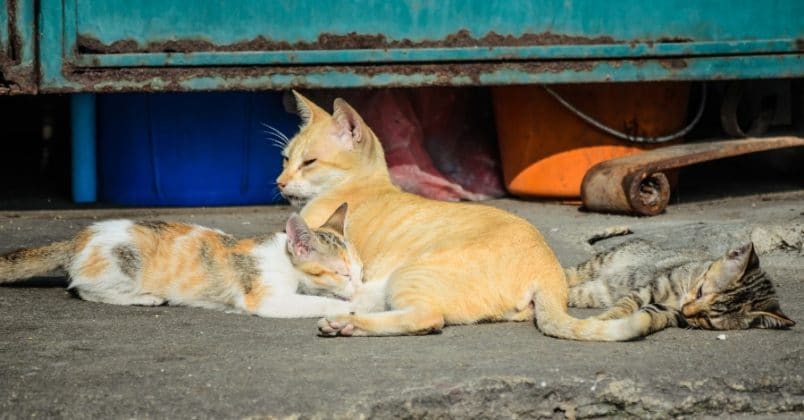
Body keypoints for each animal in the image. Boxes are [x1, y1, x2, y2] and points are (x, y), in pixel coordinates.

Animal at [0, 204, 362, 318]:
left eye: (360, 273)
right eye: (342, 273)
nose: (359, 287)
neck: (284, 261)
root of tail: (78, 239)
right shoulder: (266, 297)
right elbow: (316, 301)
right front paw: (346, 307)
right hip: (124, 264)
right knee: (84, 288)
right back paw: (146, 298)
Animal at [274, 91, 680, 342]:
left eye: (309, 162)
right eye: (286, 158)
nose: (280, 182)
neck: (364, 183)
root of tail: (549, 271)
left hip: (410, 274)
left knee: (425, 318)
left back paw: (345, 323)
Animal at [568, 240, 796, 332]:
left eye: (707, 318)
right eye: (700, 292)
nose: (685, 310)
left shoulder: (668, 311)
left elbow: (650, 313)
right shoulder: (650, 287)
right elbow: (625, 305)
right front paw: (605, 319)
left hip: (597, 291)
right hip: (600, 262)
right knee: (572, 275)